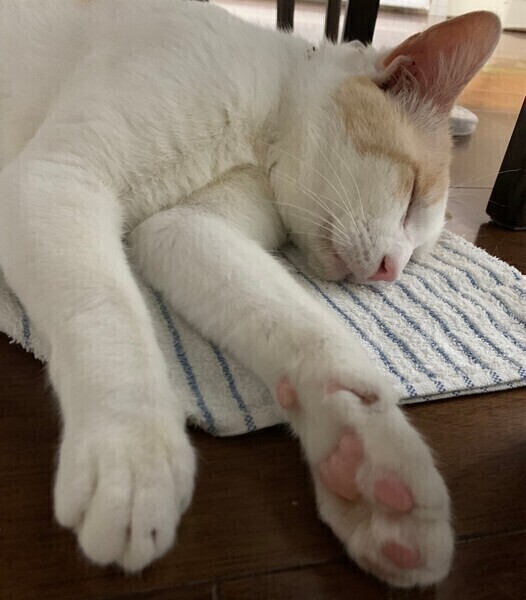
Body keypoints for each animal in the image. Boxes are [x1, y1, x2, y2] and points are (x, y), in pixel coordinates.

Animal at [0, 0, 500, 588]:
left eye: (419, 255)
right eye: (412, 195)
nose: (389, 272)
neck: (260, 133)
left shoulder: (184, 227)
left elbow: (312, 332)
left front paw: (366, 453)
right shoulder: (57, 176)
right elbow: (108, 309)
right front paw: (130, 453)